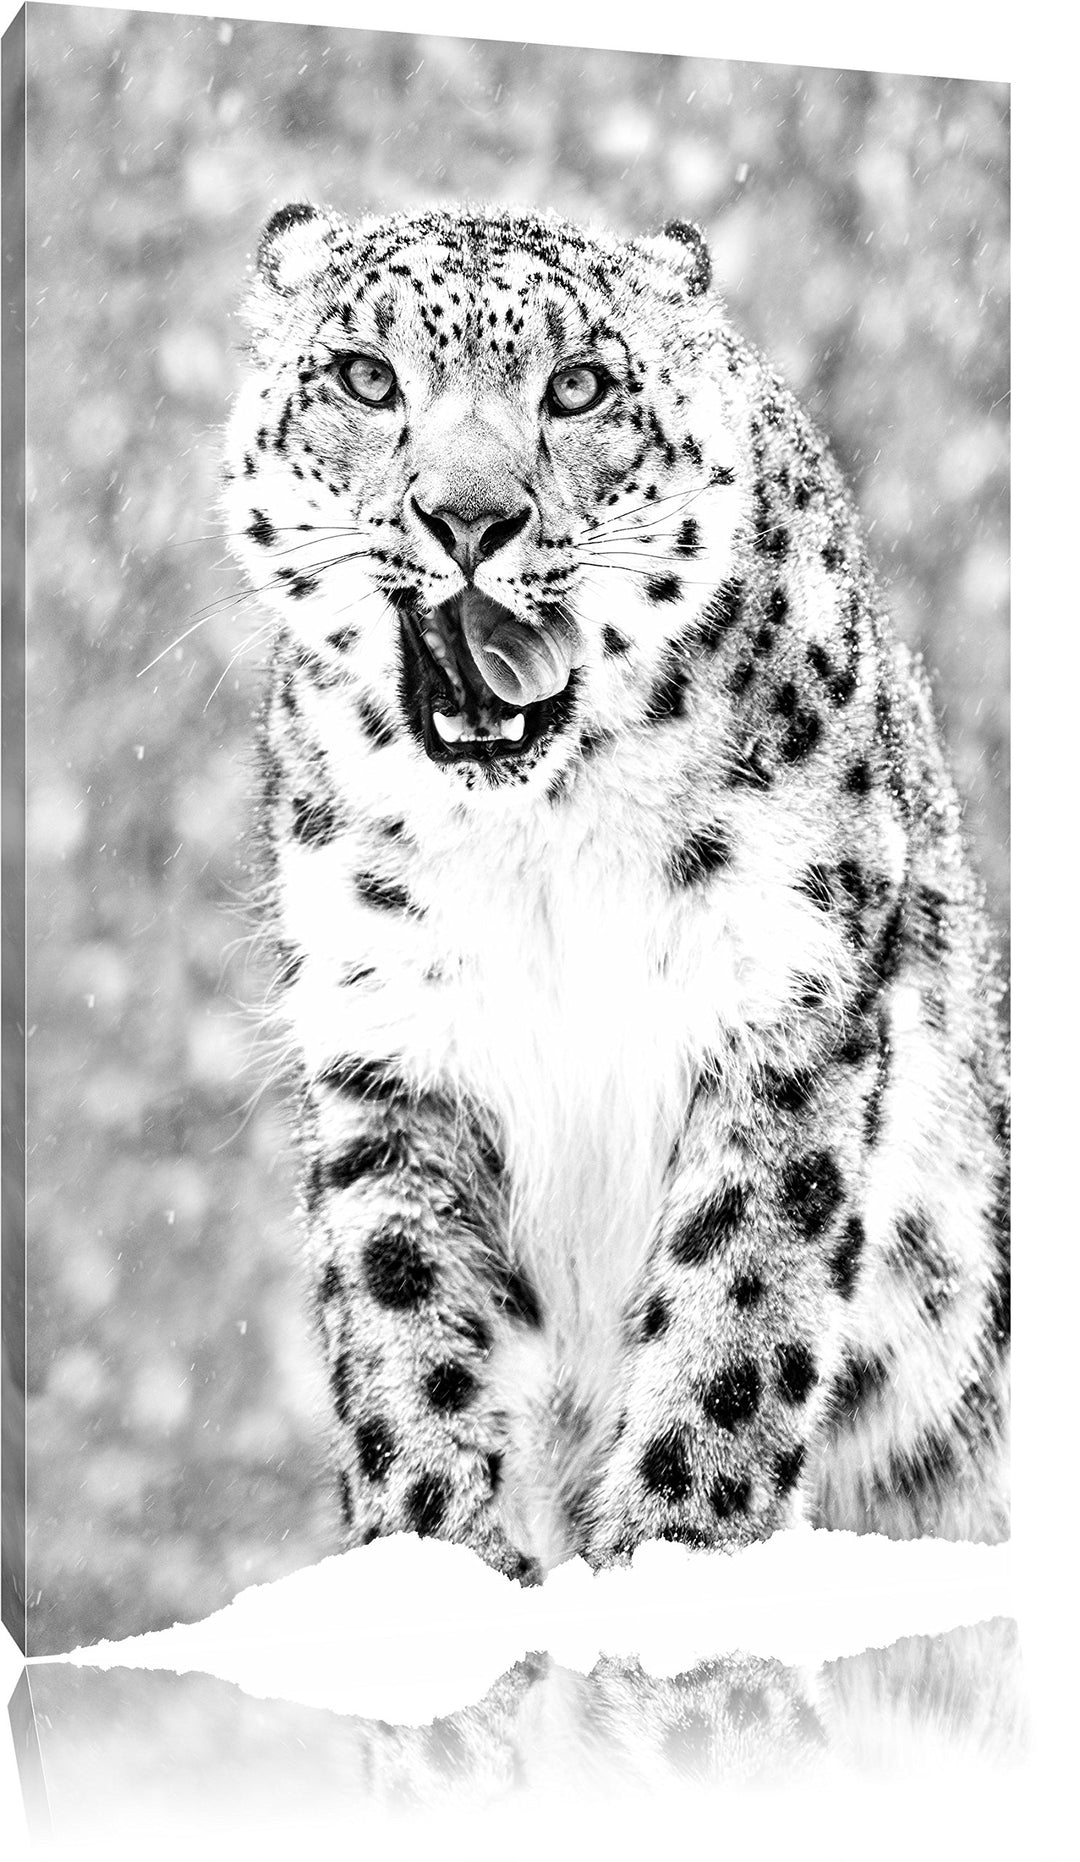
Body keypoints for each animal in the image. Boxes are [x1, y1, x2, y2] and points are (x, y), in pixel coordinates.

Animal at [221, 203, 1009, 1583]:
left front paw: (679, 1550)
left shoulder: (783, 1007)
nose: (469, 516)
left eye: (580, 384)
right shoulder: (393, 1043)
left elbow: (735, 1304)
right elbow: (409, 1316)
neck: (539, 847)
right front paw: (439, 1560)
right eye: (365, 376)